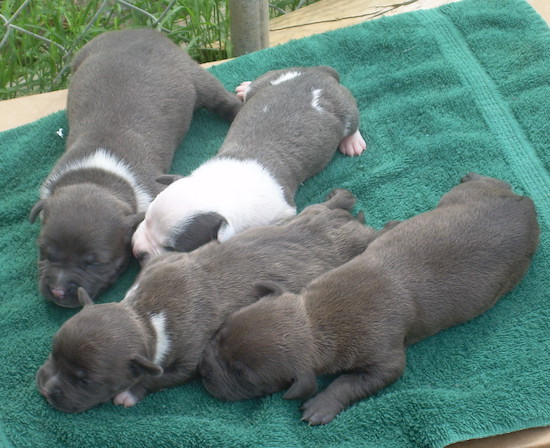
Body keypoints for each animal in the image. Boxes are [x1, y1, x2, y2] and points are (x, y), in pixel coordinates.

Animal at [29, 28, 243, 308]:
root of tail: (138, 30)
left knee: (220, 99)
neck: (98, 177)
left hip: (195, 75)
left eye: (94, 263)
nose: (57, 291)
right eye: (45, 252)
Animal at [35, 189, 388, 412]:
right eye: (53, 352)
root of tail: (343, 219)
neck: (145, 316)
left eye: (86, 381)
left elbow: (157, 378)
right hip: (313, 213)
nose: (46, 389)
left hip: (357, 246)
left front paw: (130, 393)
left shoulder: (188, 360)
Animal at [132, 65, 368, 262]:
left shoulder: (281, 213)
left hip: (345, 108)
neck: (221, 188)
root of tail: (318, 73)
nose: (136, 250)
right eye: (147, 218)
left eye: (172, 248)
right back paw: (245, 86)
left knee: (353, 122)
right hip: (270, 79)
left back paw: (352, 142)